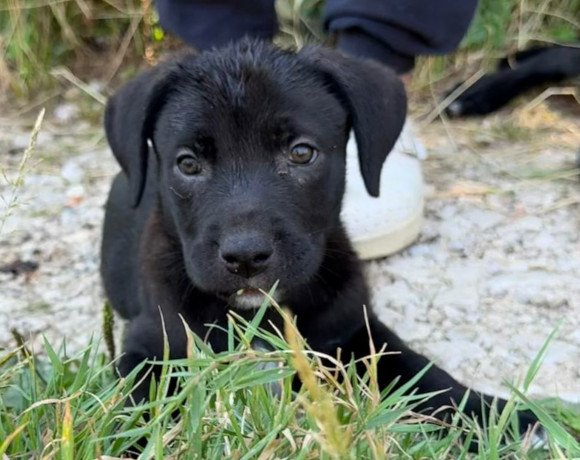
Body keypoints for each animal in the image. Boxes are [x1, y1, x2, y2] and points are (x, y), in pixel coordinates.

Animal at [101, 39, 538, 440]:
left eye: (301, 153)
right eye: (188, 164)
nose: (246, 256)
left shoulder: (354, 329)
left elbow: (424, 374)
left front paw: (496, 416)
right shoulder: (151, 346)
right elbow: (136, 409)